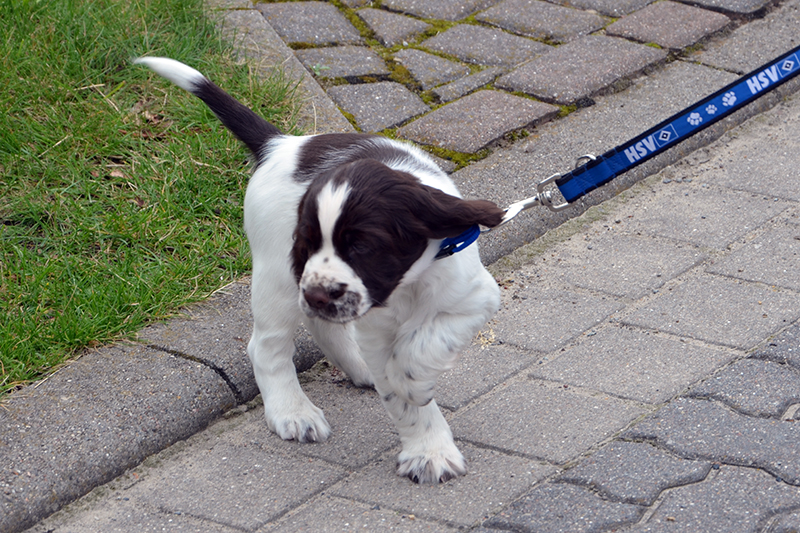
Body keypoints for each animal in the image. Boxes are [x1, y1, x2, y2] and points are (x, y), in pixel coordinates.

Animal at [134, 58, 504, 482]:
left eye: (361, 245)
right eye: (307, 242)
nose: (316, 293)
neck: (405, 288)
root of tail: (280, 144)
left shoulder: (475, 297)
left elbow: (428, 341)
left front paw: (416, 396)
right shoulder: (371, 327)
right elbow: (405, 395)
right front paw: (428, 448)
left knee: (322, 325)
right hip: (277, 278)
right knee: (267, 346)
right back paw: (292, 411)